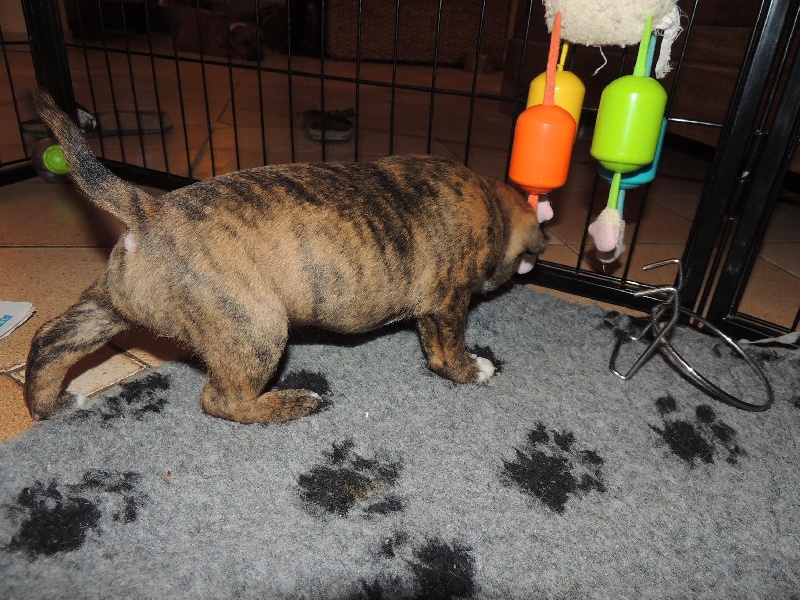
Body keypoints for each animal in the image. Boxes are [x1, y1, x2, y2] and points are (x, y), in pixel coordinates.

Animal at [25, 90, 546, 424]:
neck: (490, 202)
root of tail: (148, 210)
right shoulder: (447, 303)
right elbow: (447, 350)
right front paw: (472, 369)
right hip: (256, 327)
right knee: (220, 400)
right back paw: (293, 403)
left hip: (109, 307)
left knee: (51, 341)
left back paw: (50, 405)